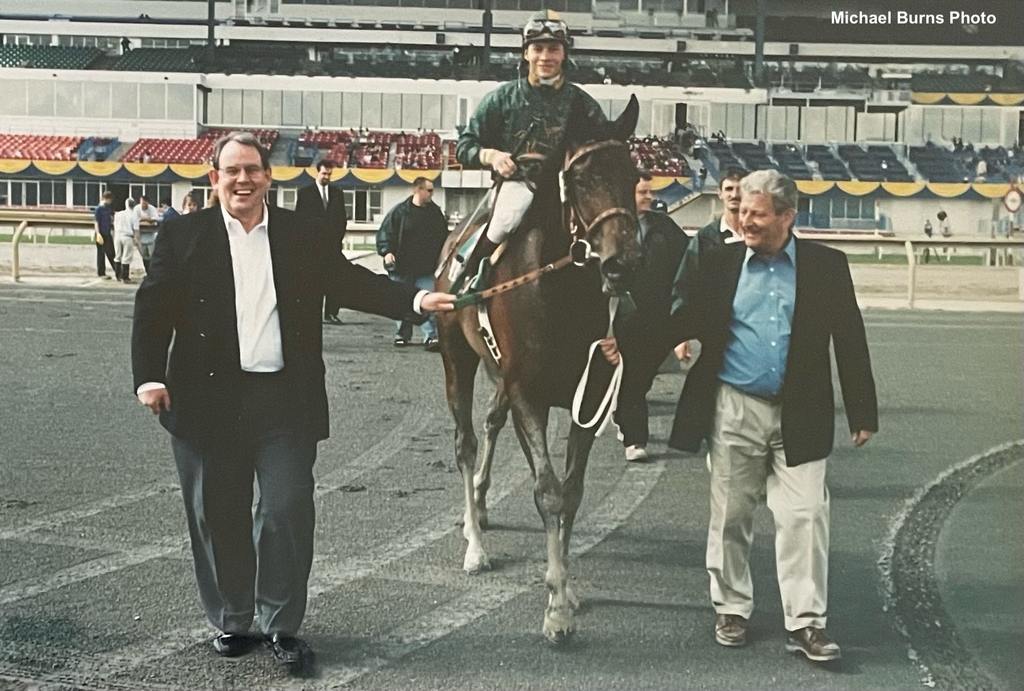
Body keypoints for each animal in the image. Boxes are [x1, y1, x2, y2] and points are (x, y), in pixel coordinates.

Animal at [436, 95, 643, 642]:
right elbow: (546, 492)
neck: (558, 289)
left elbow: (568, 492)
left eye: (635, 174)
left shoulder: (584, 395)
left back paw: (482, 504)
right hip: (458, 360)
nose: (623, 263)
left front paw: (565, 589)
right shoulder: (527, 391)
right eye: (581, 178)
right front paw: (555, 610)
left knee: (492, 423)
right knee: (465, 443)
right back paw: (475, 544)